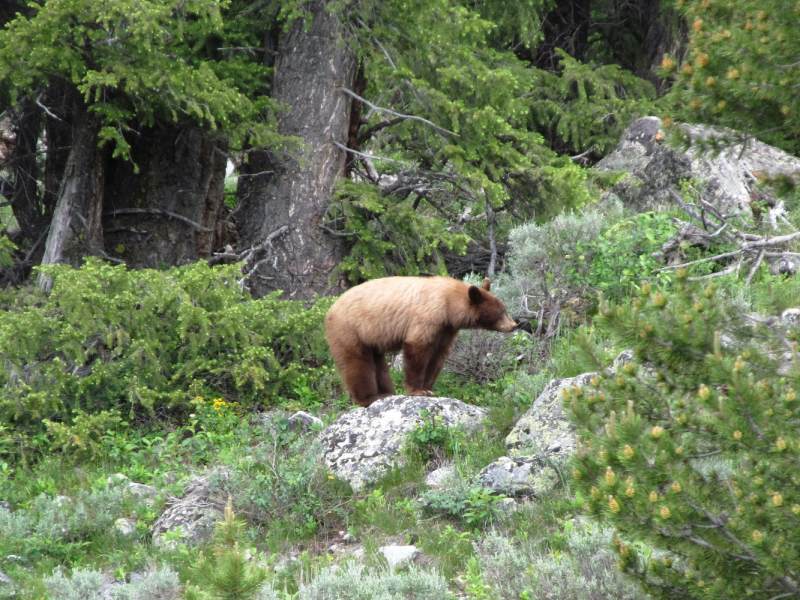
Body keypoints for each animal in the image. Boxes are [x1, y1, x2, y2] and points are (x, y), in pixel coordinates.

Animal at [326, 276, 520, 408]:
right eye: (501, 312)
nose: (514, 325)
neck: (448, 305)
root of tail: (331, 308)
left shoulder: (446, 330)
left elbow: (438, 356)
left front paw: (429, 389)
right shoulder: (428, 317)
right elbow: (417, 348)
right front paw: (418, 390)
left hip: (371, 339)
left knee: (378, 364)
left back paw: (386, 392)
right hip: (350, 330)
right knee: (357, 363)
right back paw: (369, 398)